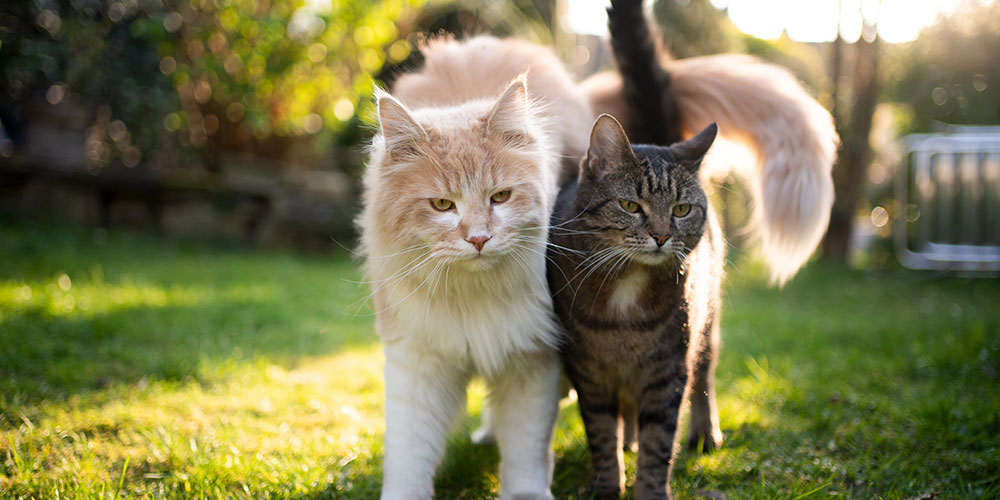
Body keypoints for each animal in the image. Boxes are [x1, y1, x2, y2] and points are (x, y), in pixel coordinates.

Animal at [360, 36, 592, 500]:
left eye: (500, 197)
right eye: (441, 205)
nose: (479, 238)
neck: (472, 296)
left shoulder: (531, 356)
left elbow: (525, 450)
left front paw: (525, 494)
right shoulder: (418, 361)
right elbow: (409, 454)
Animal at [548, 114, 720, 500]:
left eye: (681, 210)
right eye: (630, 206)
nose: (661, 236)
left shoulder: (668, 368)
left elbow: (658, 441)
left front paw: (651, 491)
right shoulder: (589, 371)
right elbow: (601, 432)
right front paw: (607, 487)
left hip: (706, 324)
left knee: (704, 373)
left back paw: (705, 434)